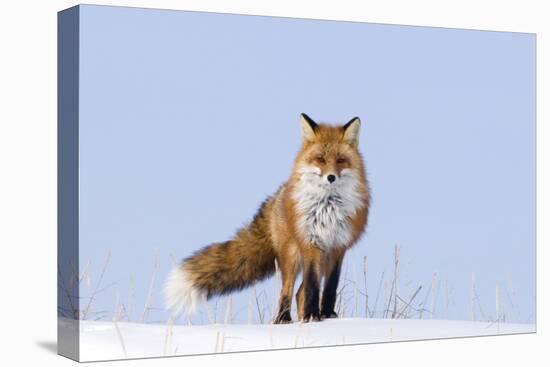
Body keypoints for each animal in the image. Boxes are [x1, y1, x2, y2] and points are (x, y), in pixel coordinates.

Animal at [164, 113, 370, 324]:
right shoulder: (310, 243)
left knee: (299, 293)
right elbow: (312, 287)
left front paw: (327, 315)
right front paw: (312, 316)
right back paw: (284, 319)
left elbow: (330, 287)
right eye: (320, 159)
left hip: (320, 258)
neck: (327, 208)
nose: (331, 177)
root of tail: (277, 195)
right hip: (292, 255)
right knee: (288, 291)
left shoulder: (338, 246)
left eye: (341, 160)